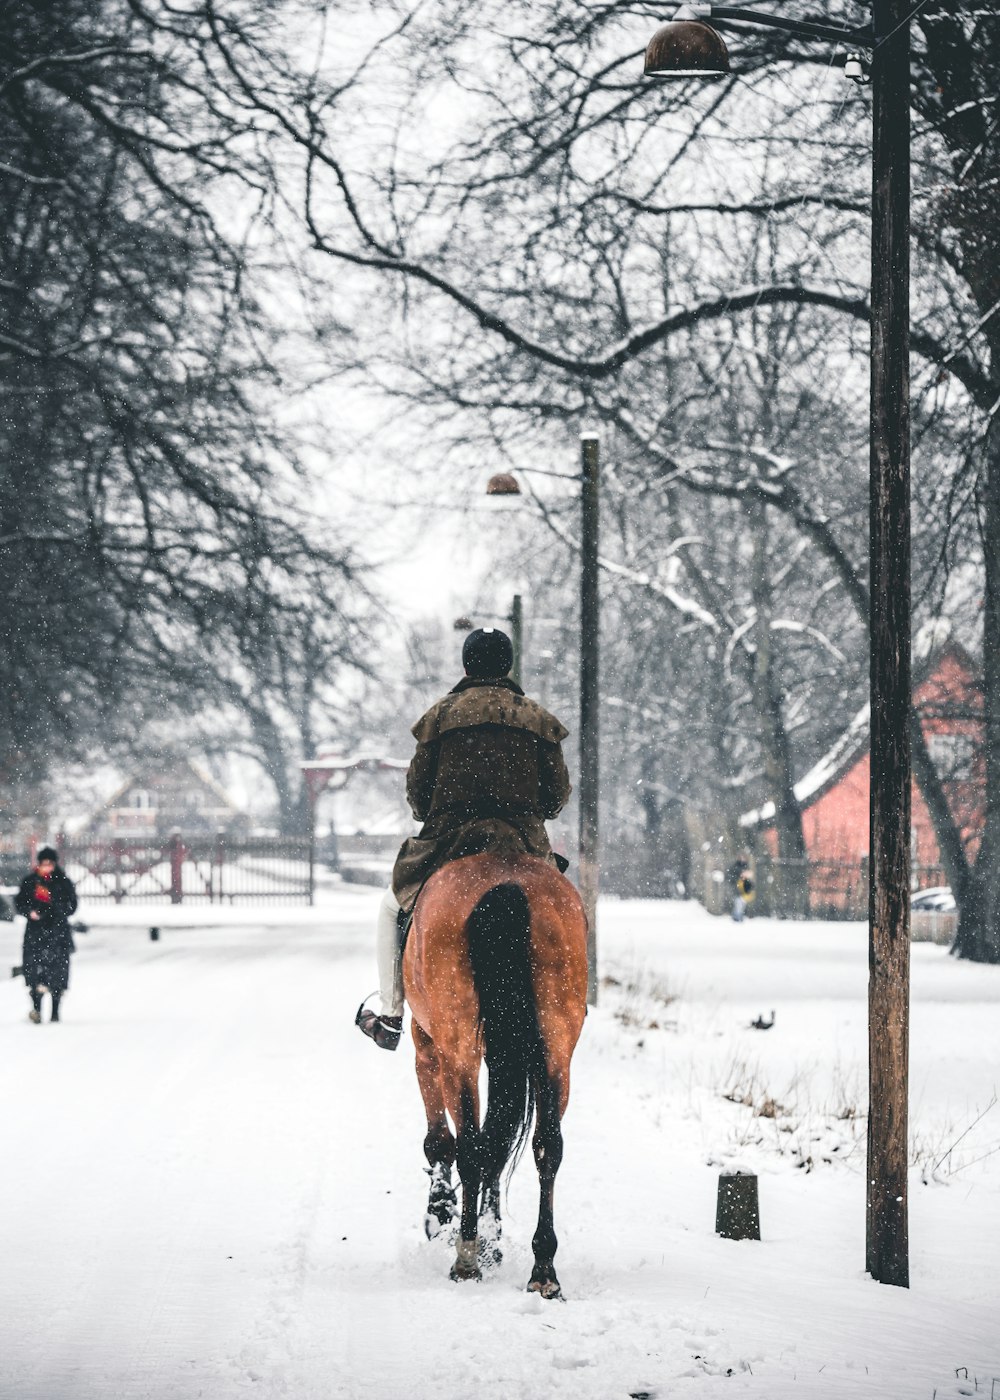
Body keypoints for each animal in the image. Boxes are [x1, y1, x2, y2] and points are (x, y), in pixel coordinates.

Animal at [400, 845, 588, 1293]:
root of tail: (508, 882)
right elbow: (501, 1140)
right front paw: (492, 1236)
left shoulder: (425, 1044)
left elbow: (440, 1141)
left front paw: (441, 1214)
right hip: (556, 1049)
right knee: (546, 1146)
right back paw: (543, 1269)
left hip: (457, 1048)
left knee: (469, 1145)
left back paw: (466, 1258)